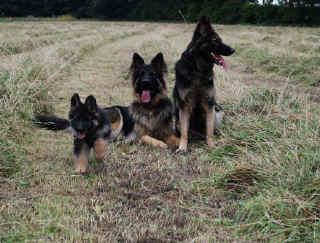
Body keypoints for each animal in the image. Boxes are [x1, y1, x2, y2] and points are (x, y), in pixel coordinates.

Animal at [172, 16, 235, 151]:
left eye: (220, 40)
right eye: (215, 40)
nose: (233, 50)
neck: (198, 70)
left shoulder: (209, 104)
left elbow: (209, 130)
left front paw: (211, 145)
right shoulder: (184, 106)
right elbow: (184, 132)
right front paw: (182, 147)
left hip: (215, 114)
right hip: (177, 121)